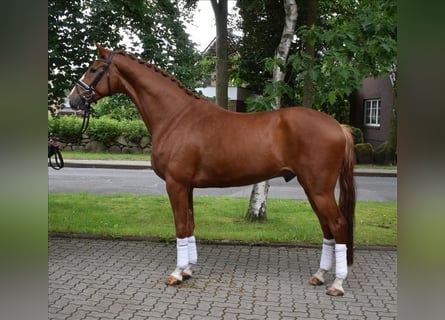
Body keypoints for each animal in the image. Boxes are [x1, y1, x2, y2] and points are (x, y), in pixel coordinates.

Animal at [67, 43, 356, 296]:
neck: (176, 116)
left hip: (318, 189)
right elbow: (190, 223)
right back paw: (319, 275)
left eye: (93, 69)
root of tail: (338, 126)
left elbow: (180, 226)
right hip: (312, 187)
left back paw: (337, 284)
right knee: (327, 227)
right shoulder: (187, 186)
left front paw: (176, 273)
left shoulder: (175, 184)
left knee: (338, 224)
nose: (72, 101)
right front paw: (188, 270)